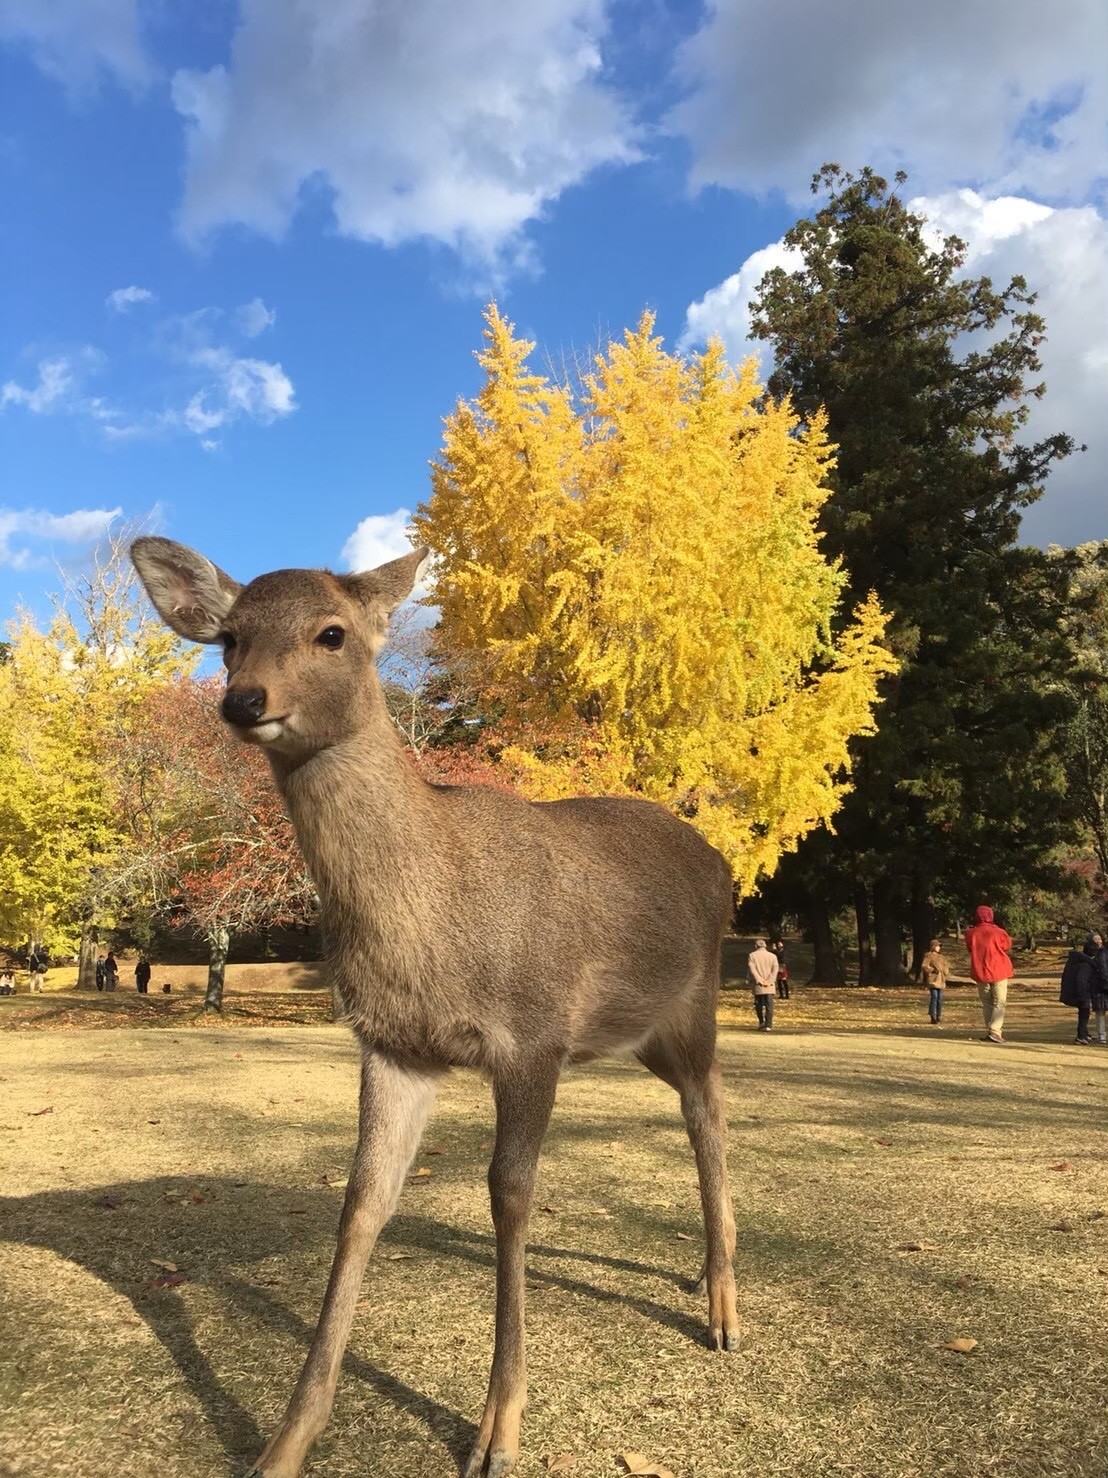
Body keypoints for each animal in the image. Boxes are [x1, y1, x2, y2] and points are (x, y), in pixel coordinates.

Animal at [132, 537, 747, 1478]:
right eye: (229, 638)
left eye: (332, 632)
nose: (244, 700)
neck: (432, 934)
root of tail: (721, 862)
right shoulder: (393, 1046)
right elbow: (362, 1203)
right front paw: (285, 1442)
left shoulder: (533, 1033)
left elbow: (509, 1194)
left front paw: (497, 1431)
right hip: (634, 1031)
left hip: (694, 1002)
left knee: (710, 1106)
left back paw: (722, 1308)